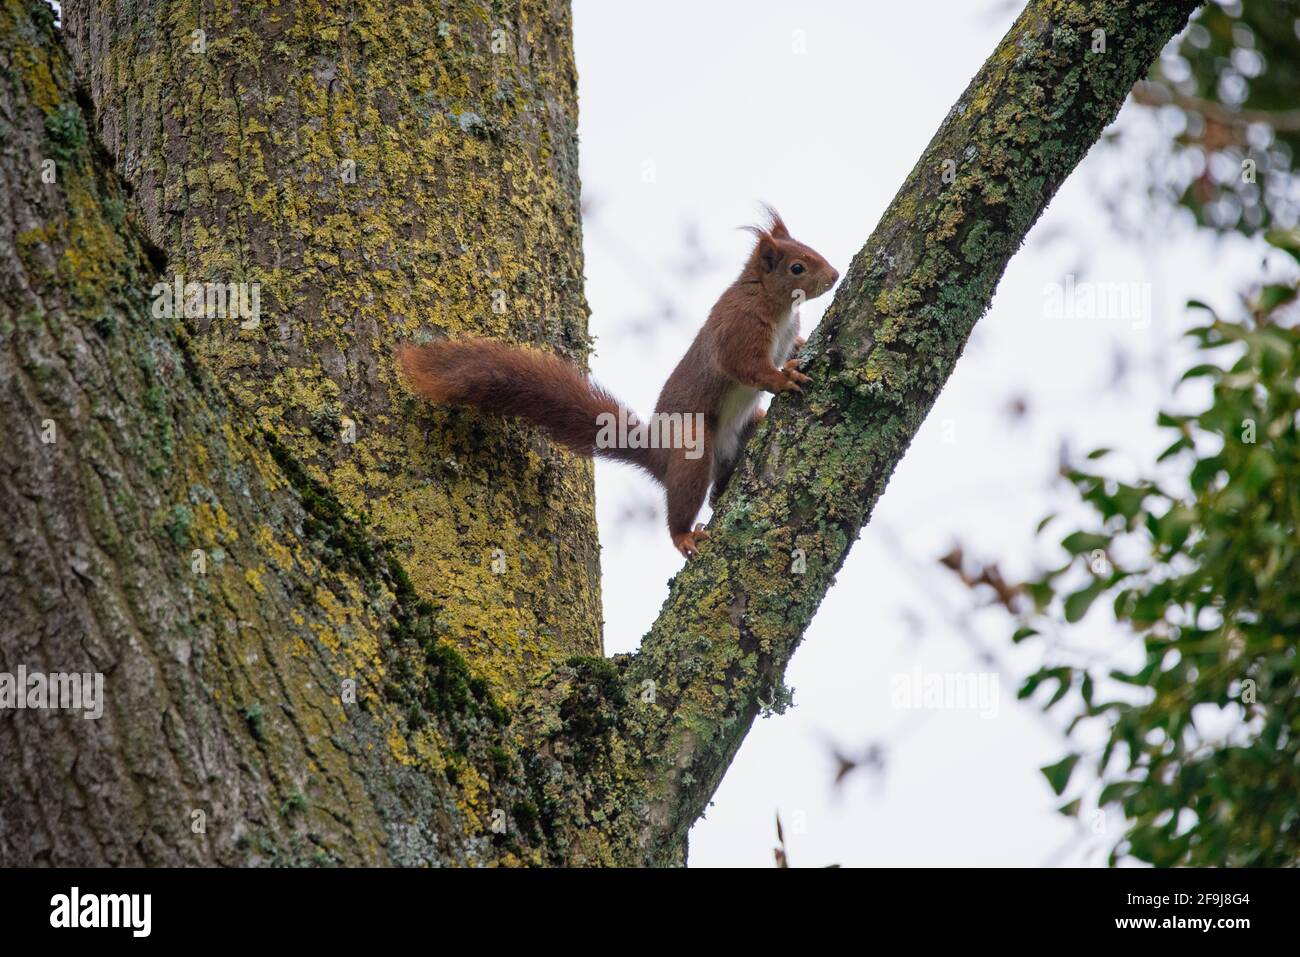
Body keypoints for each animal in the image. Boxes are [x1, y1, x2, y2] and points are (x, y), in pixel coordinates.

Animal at [397, 208, 839, 558]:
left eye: (811, 249)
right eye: (797, 267)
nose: (835, 275)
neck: (775, 304)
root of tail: (659, 455)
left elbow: (789, 345)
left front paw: (798, 351)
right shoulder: (738, 327)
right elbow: (744, 366)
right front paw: (783, 377)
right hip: (693, 444)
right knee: (685, 496)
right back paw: (683, 535)